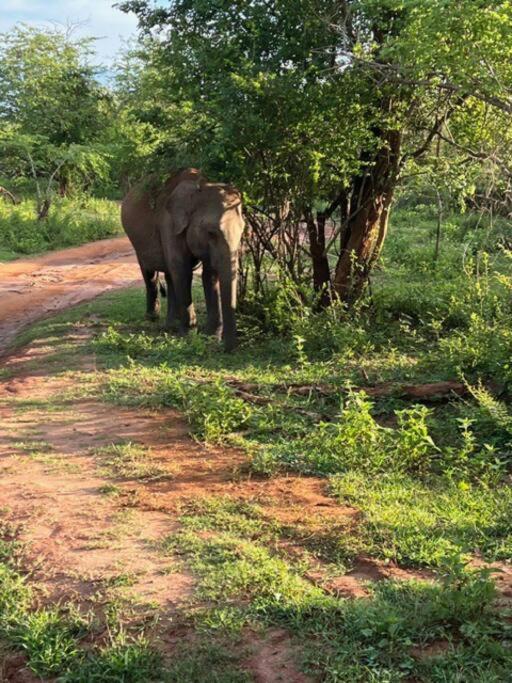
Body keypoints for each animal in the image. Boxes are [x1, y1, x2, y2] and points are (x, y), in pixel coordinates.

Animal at [122, 169, 246, 352]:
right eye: (211, 233)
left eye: (242, 230)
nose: (226, 349)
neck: (200, 186)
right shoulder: (168, 224)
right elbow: (182, 270)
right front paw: (189, 335)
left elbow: (209, 275)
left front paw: (210, 336)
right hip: (136, 241)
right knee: (150, 272)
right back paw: (153, 317)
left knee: (169, 275)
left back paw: (171, 325)